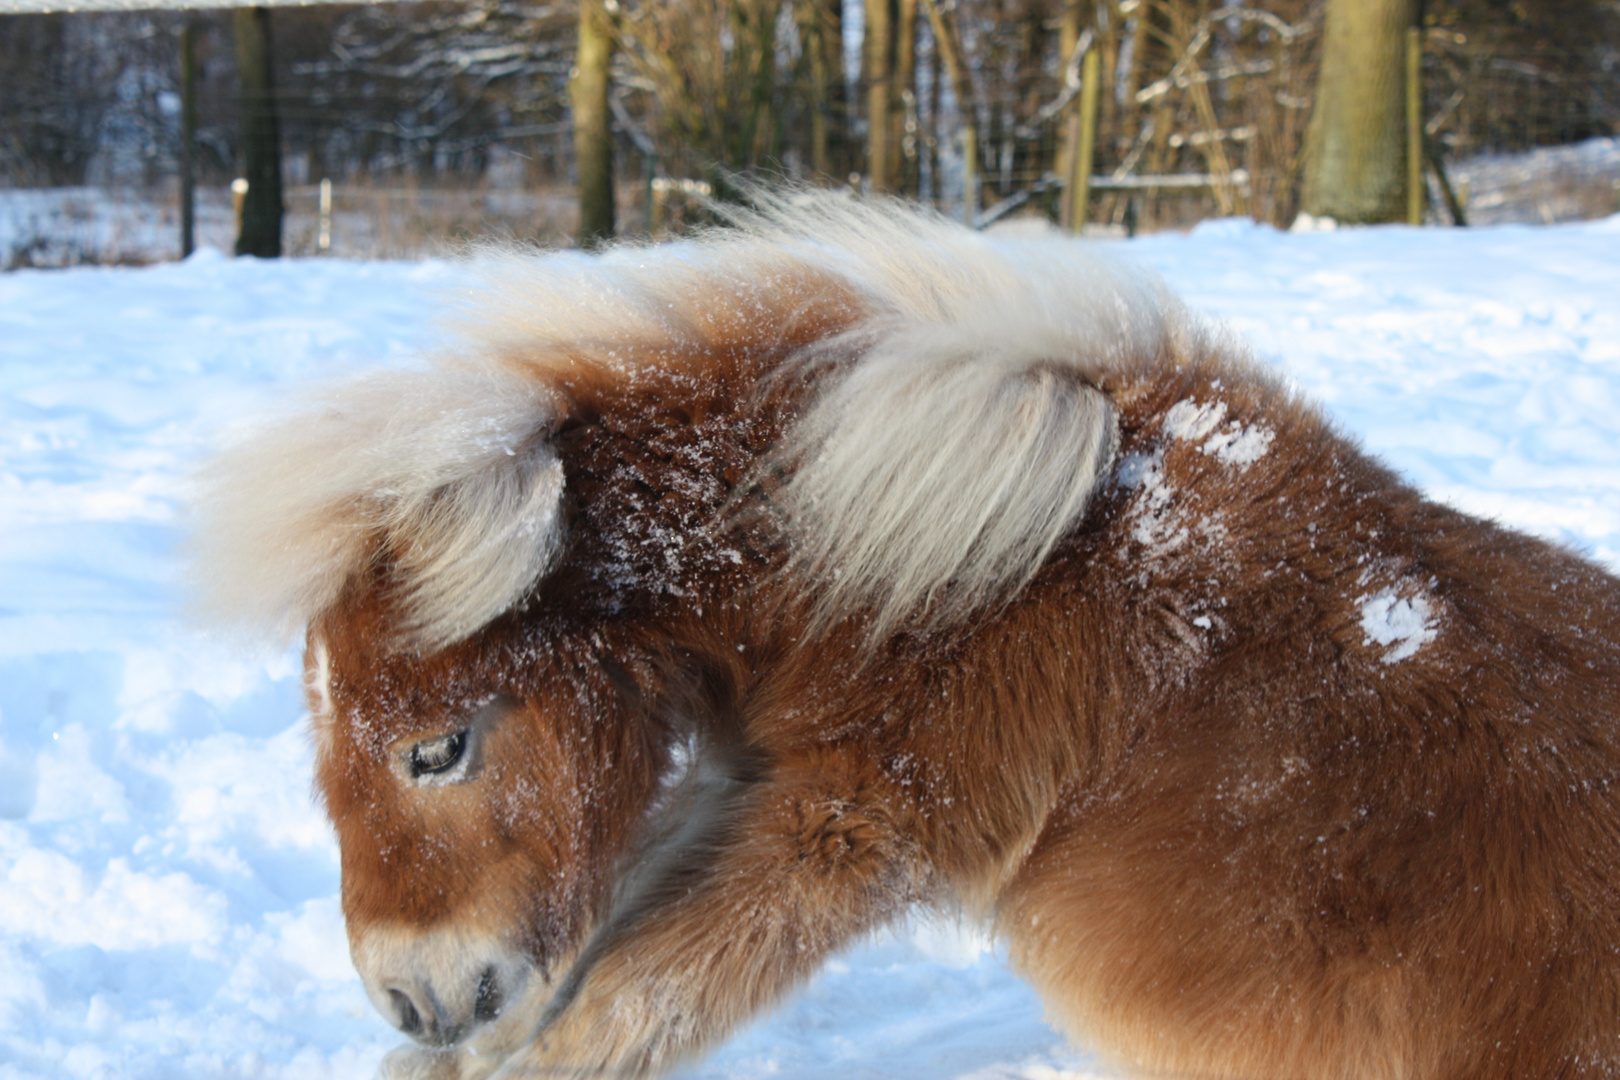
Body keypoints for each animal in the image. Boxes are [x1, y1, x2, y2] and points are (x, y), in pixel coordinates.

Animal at [196, 196, 1620, 1080]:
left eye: (437, 749)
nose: (411, 995)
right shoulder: (759, 779)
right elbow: (612, 936)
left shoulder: (850, 830)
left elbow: (630, 1001)